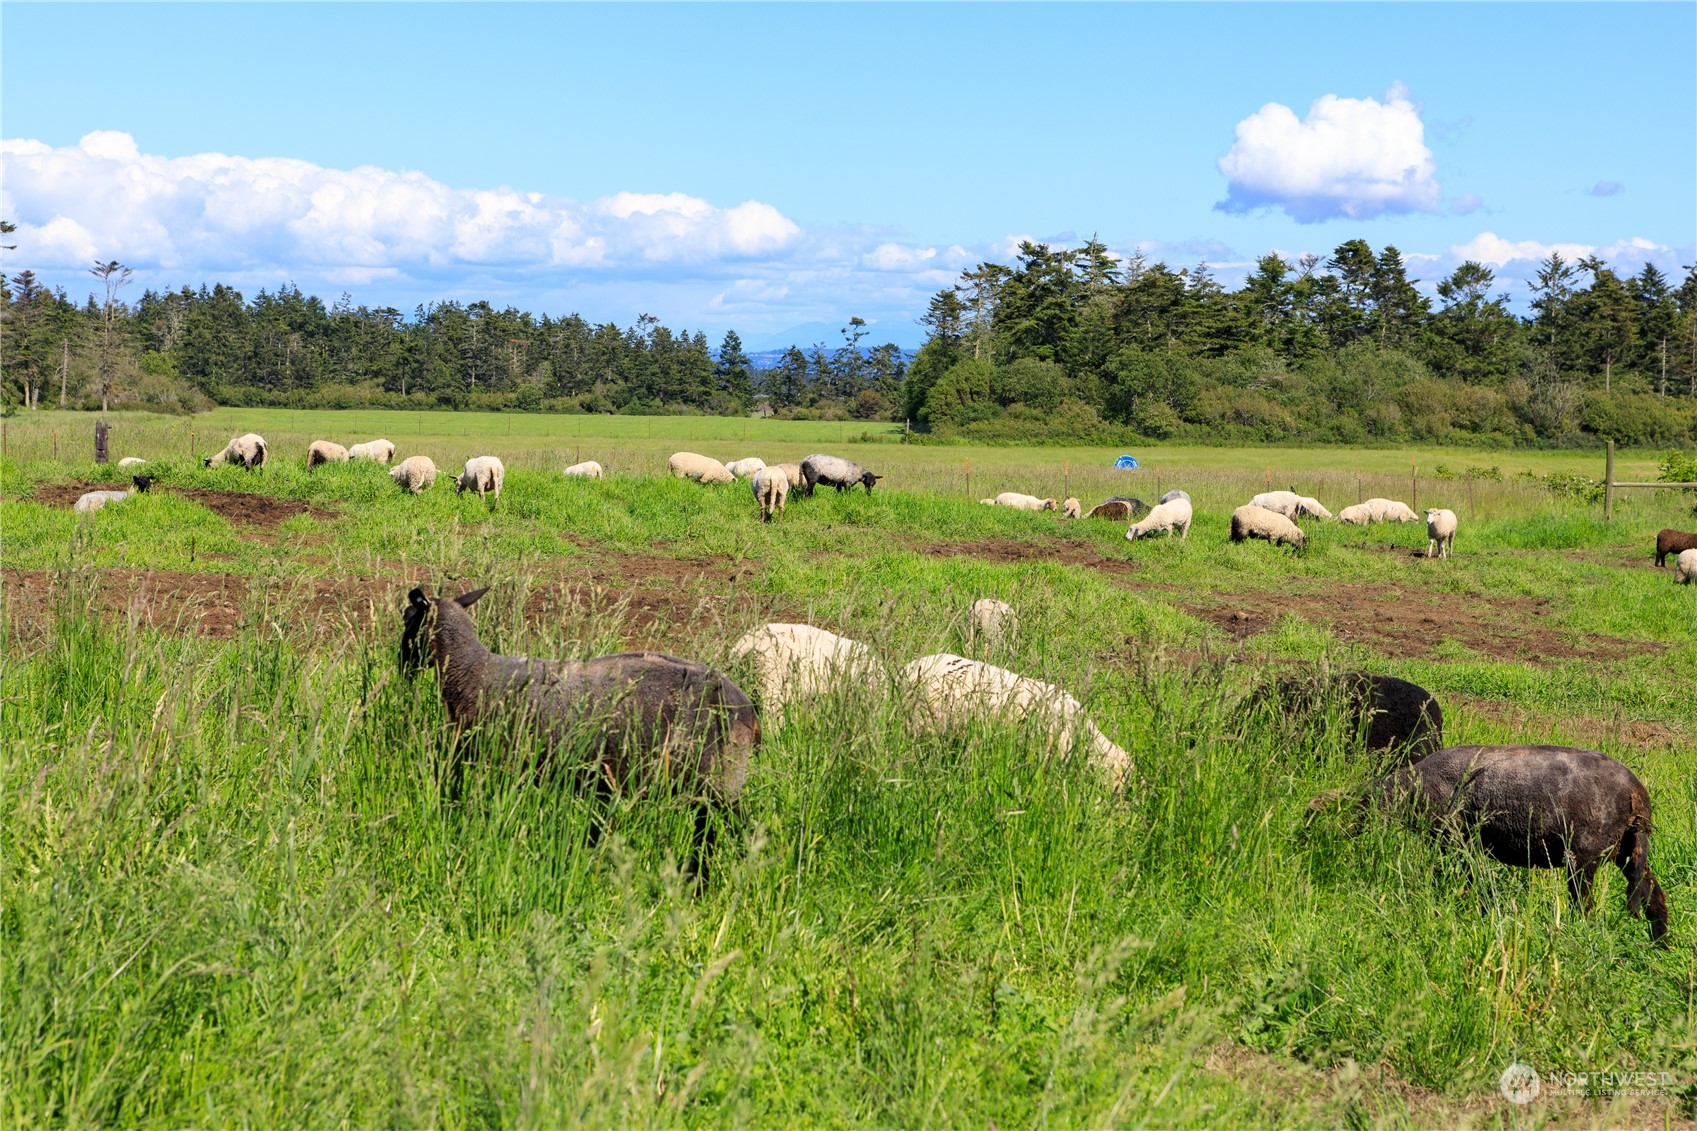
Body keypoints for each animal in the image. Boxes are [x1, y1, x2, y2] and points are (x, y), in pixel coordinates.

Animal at [1316, 743, 1663, 937]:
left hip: (1583, 859)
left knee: (1586, 908)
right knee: (1655, 896)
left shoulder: (1454, 842)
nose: (1314, 842)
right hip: (1629, 851)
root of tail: (1637, 792)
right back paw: (1660, 943)